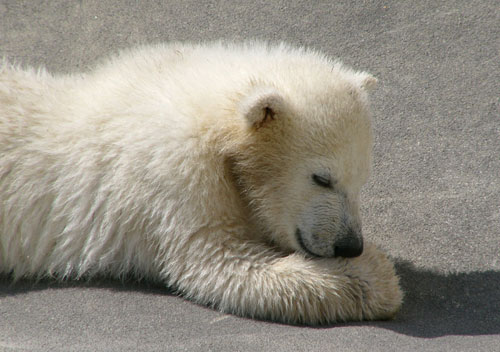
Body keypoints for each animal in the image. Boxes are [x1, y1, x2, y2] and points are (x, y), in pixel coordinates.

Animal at [0, 42, 400, 326]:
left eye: (361, 179)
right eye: (322, 178)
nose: (349, 244)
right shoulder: (174, 179)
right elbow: (213, 261)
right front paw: (378, 276)